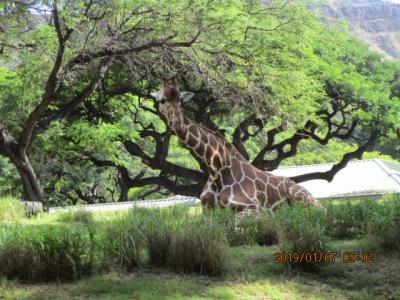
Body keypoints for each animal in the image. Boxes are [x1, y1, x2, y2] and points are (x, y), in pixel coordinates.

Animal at [152, 78, 324, 212]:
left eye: (181, 100)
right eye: (161, 100)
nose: (177, 123)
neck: (216, 168)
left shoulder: (253, 207)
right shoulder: (207, 210)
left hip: (305, 200)